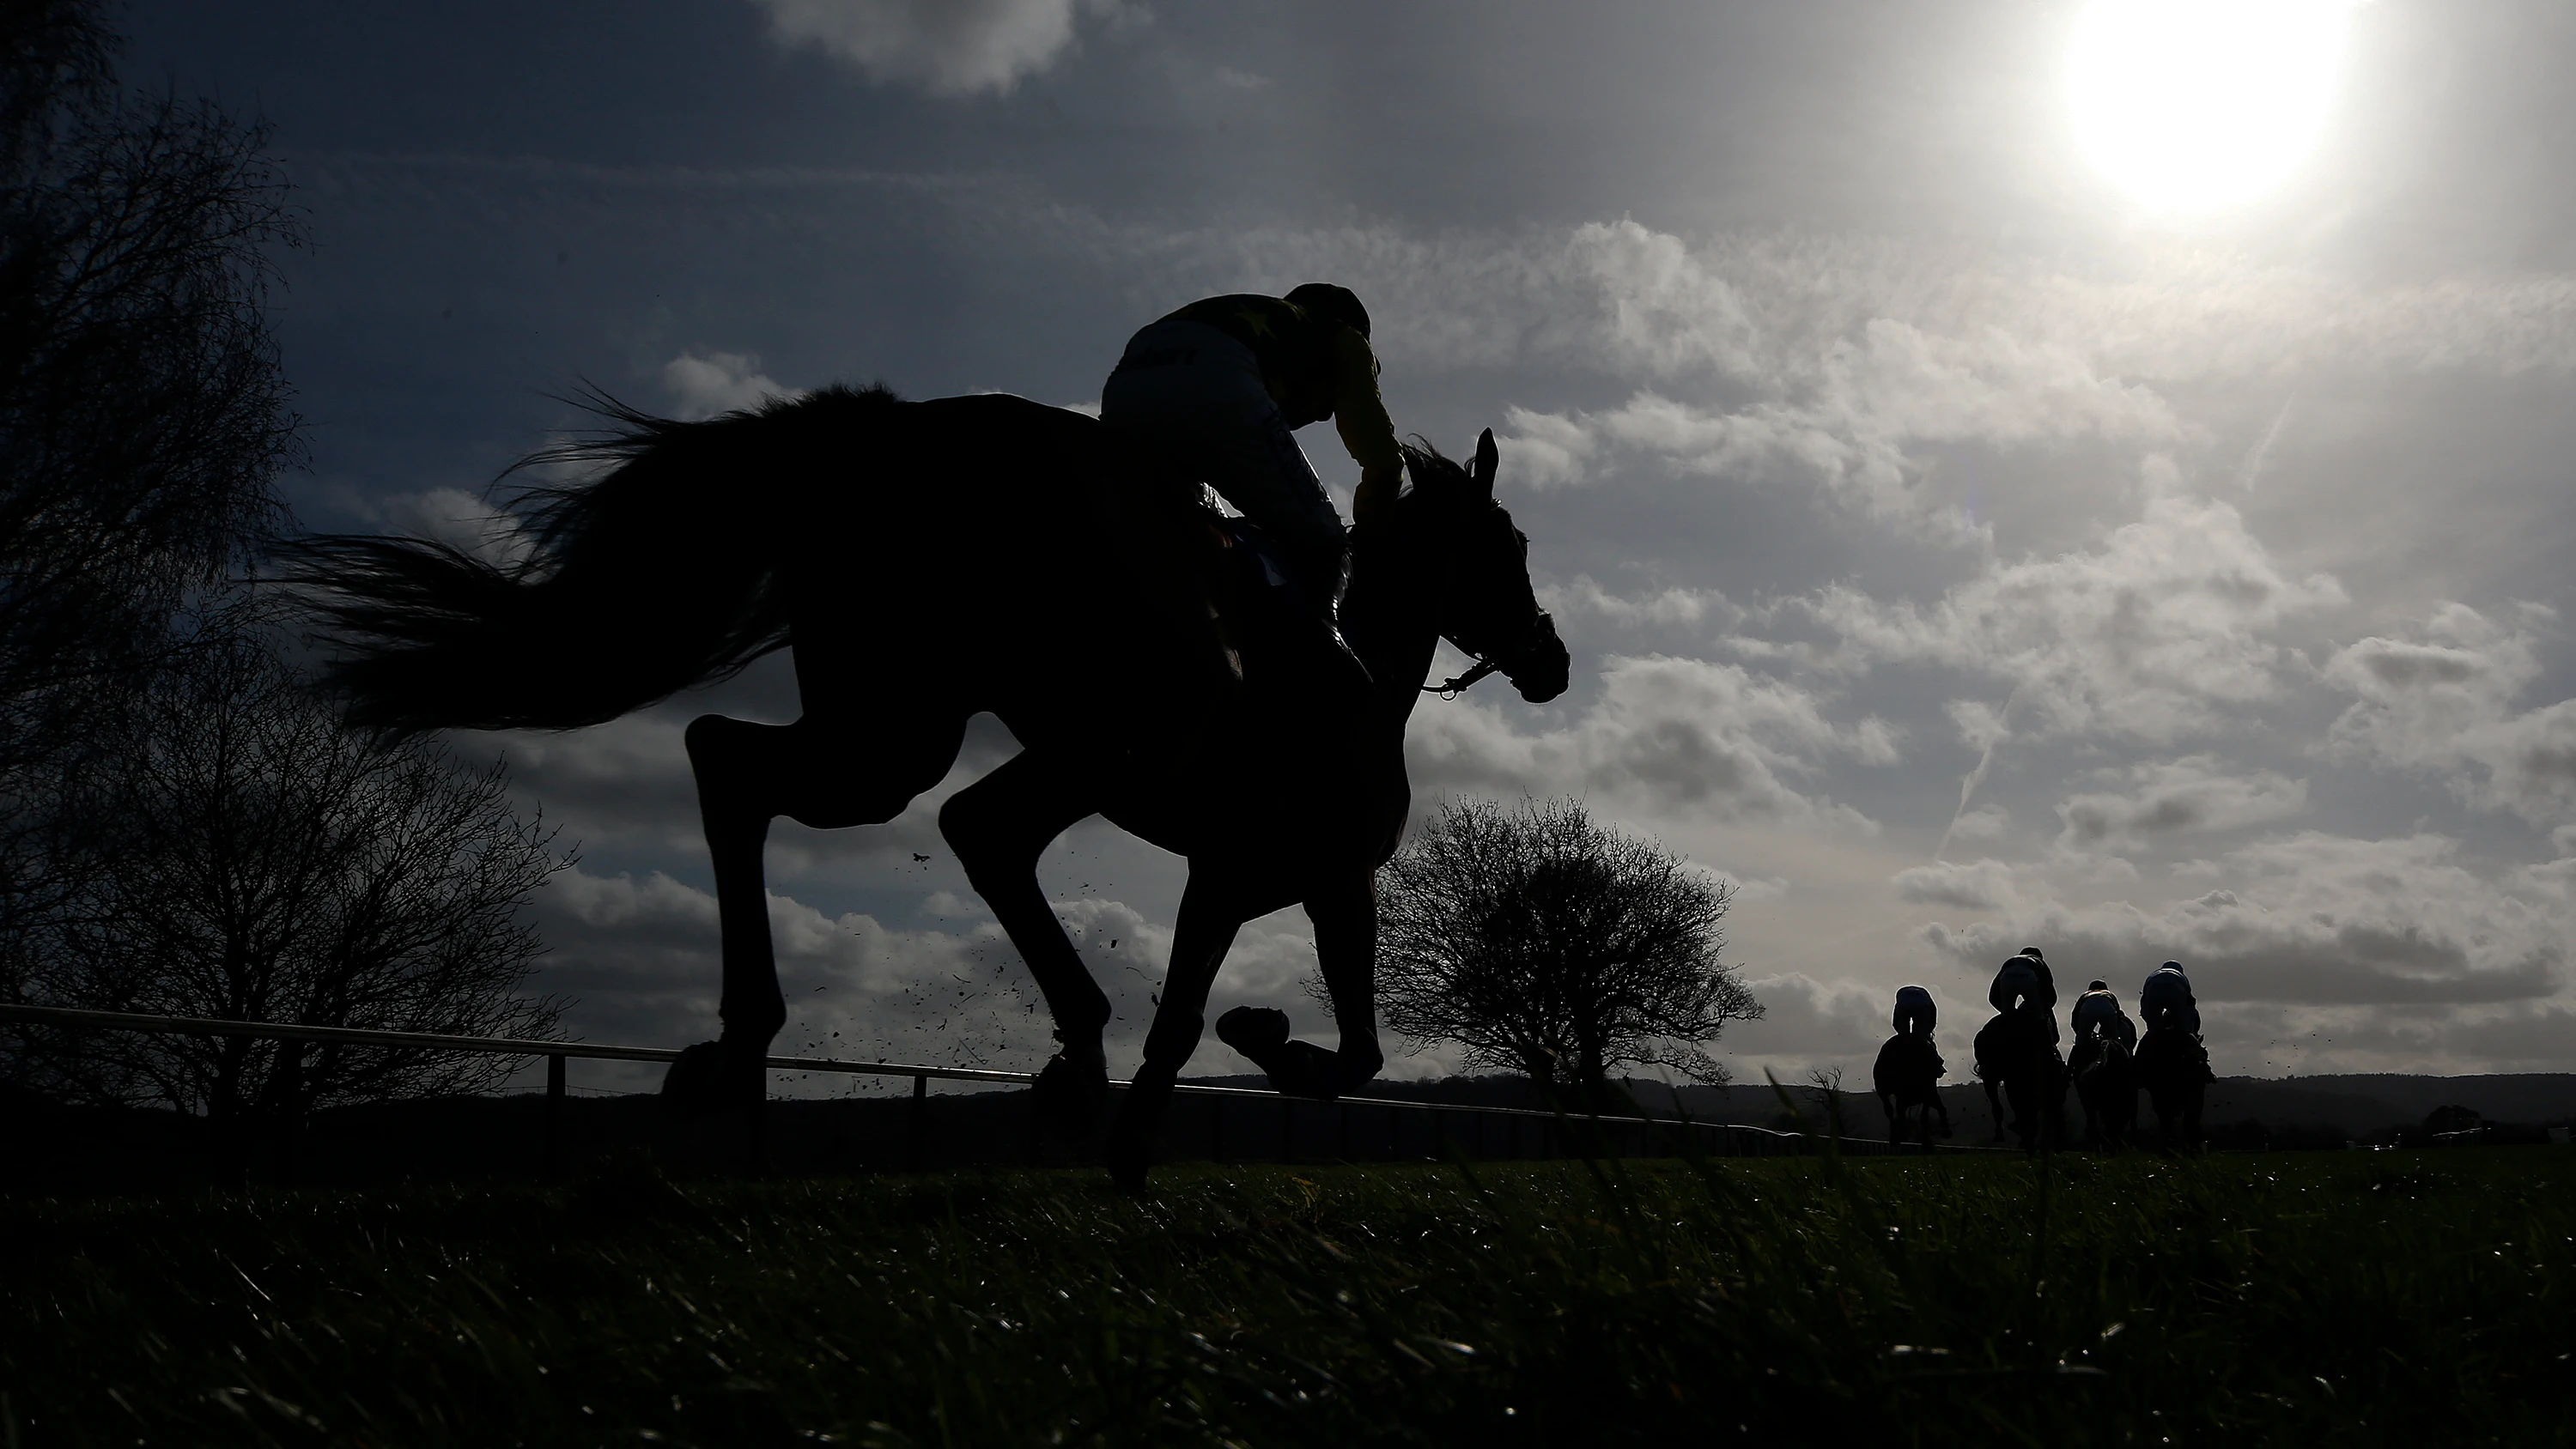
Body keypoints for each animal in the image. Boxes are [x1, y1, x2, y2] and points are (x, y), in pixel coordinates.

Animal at [287, 388, 1566, 1189]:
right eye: (1509, 543)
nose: (1552, 661)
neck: (1360, 685)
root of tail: (874, 436)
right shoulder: (1289, 869)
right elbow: (1305, 1040)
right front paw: (1238, 1057)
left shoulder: (1274, 878)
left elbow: (1269, 1026)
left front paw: (1191, 1094)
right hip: (981, 730)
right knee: (948, 817)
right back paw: (1046, 1058)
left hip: (891, 716)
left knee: (737, 759)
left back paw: (747, 1050)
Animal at [2133, 1024, 2215, 1153]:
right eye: (2188, 1059)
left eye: (2205, 1054)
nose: (2203, 1069)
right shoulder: (2160, 1095)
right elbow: (2168, 1120)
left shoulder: (2196, 1093)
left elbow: (2190, 1118)